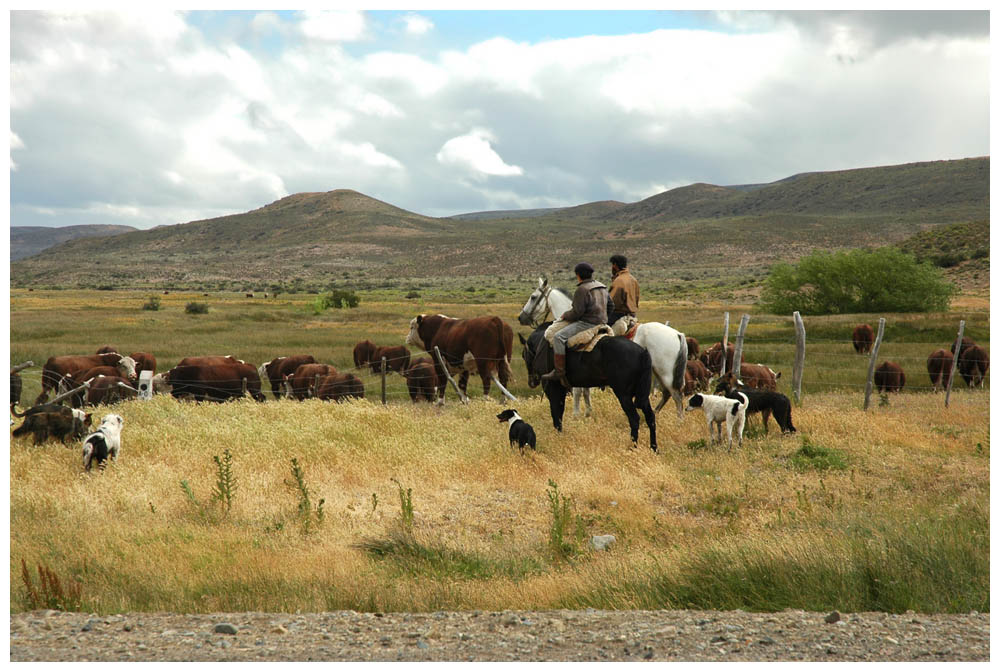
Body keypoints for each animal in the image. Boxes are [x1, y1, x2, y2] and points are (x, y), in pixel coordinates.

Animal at [516, 276, 688, 418]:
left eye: (533, 297)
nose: (521, 317)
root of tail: (677, 334)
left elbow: (578, 391)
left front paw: (576, 415)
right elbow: (585, 391)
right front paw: (588, 413)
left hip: (665, 372)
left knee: (676, 395)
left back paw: (678, 421)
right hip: (659, 371)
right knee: (667, 394)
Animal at [520, 324, 660, 452]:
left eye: (523, 355)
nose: (532, 381)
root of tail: (642, 352)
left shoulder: (553, 390)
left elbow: (556, 415)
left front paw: (558, 437)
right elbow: (559, 413)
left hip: (624, 395)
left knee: (634, 419)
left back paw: (633, 447)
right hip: (640, 394)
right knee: (650, 417)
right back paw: (654, 448)